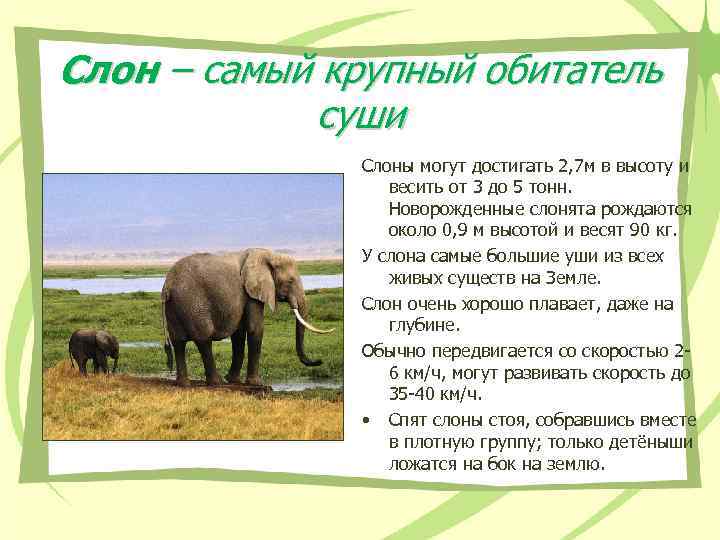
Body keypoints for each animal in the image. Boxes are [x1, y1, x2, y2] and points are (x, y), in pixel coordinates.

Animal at [161, 248, 335, 387]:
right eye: (290, 281)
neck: (268, 255)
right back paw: (217, 383)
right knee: (203, 339)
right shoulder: (251, 293)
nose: (319, 361)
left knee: (178, 342)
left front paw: (234, 380)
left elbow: (238, 334)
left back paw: (184, 384)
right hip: (192, 303)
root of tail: (167, 285)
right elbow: (254, 329)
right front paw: (256, 383)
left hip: (175, 306)